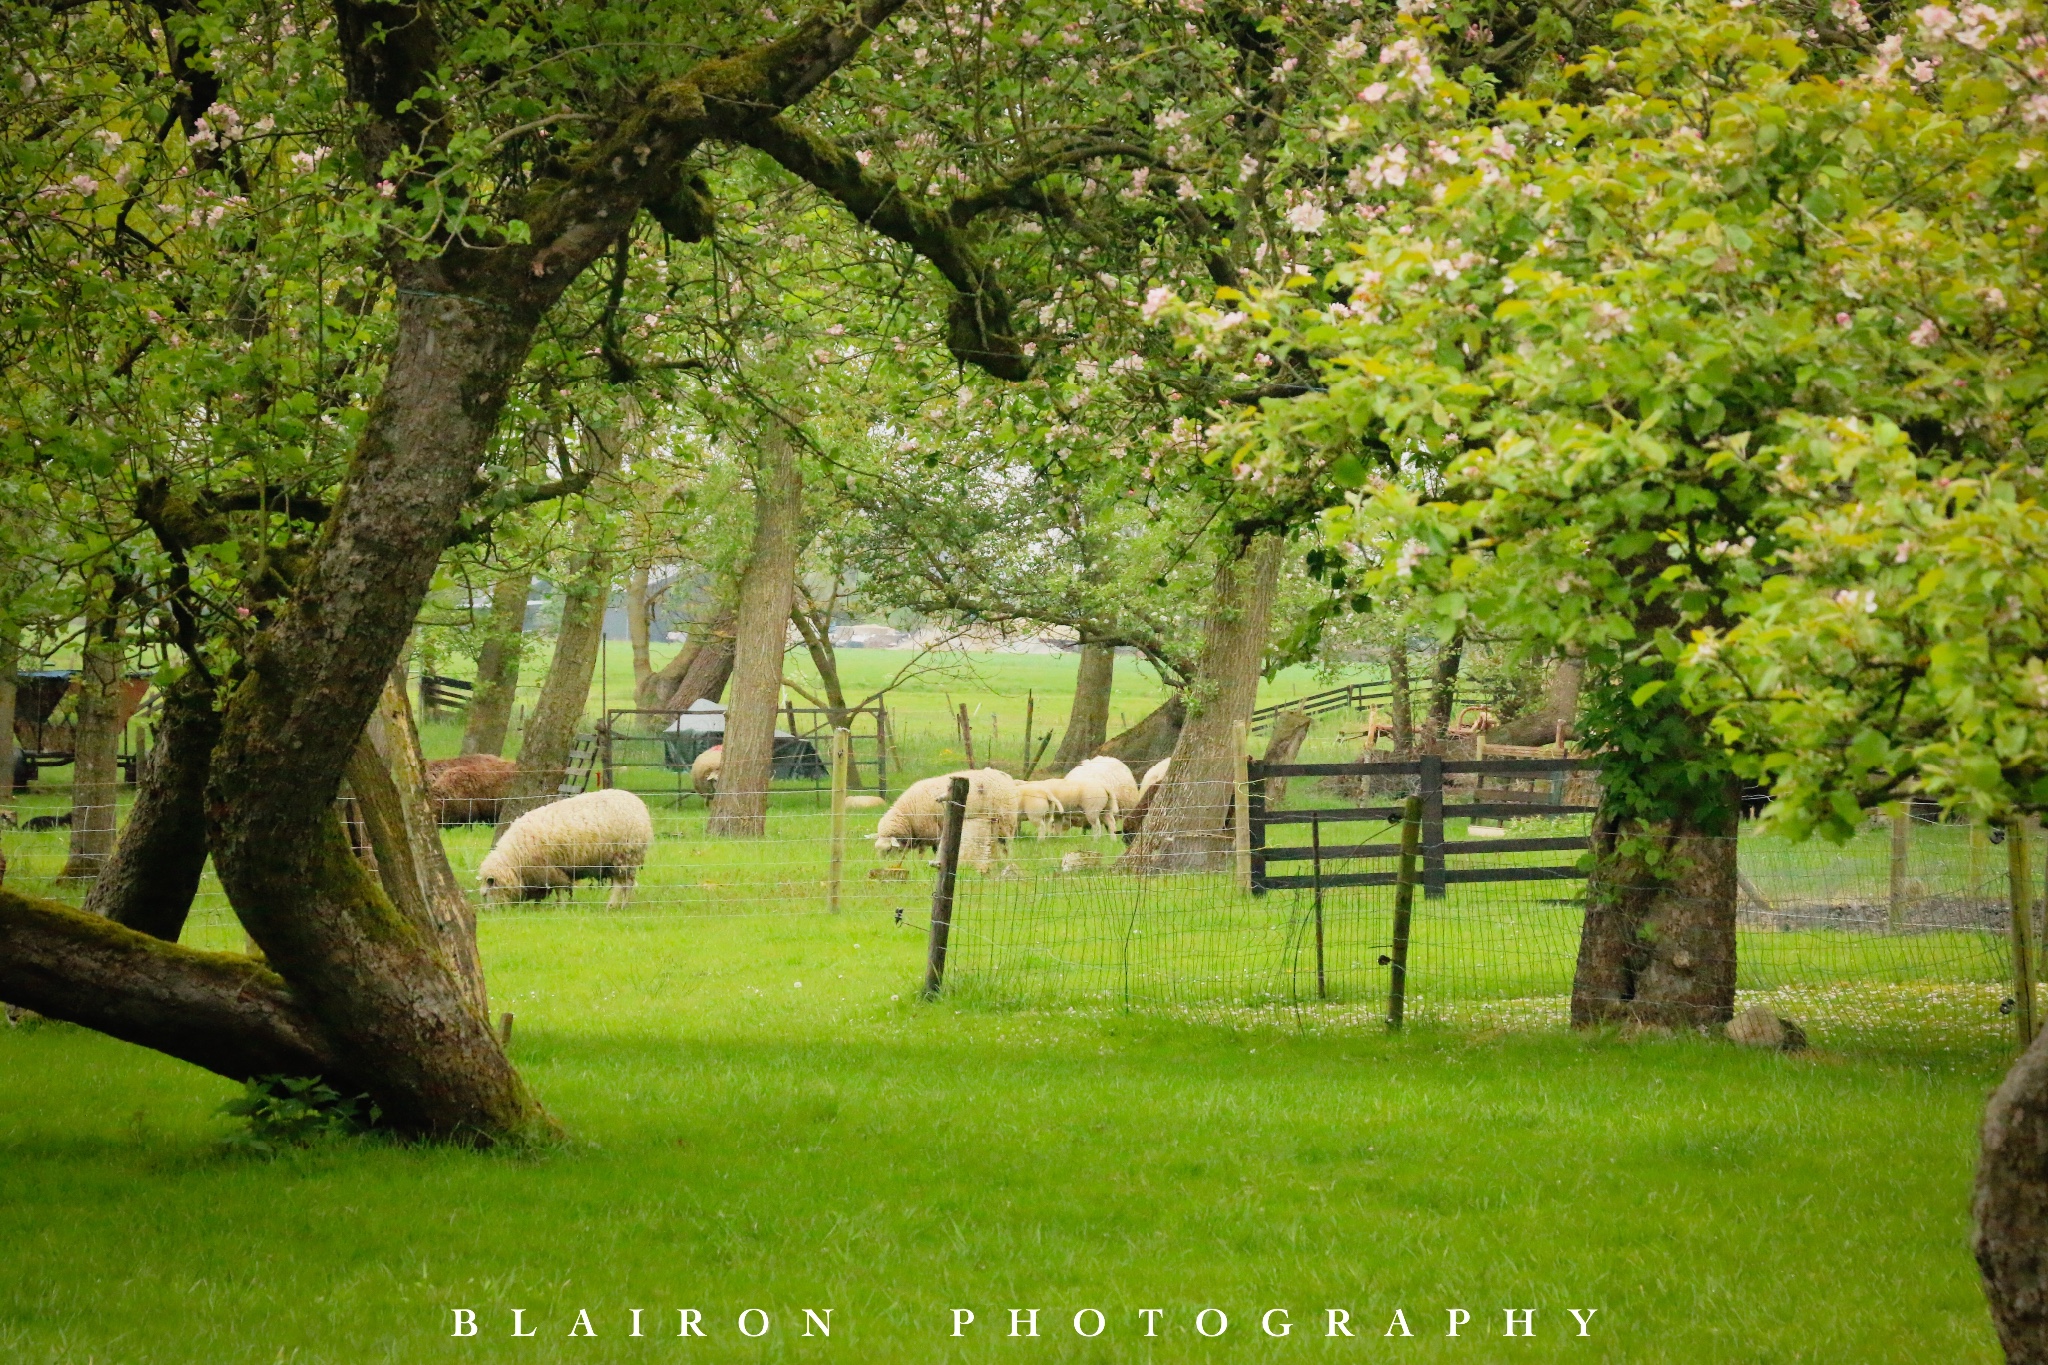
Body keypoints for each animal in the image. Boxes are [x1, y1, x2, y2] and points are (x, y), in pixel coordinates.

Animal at [475, 785, 651, 912]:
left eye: (485, 894)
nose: (488, 911)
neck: (515, 859)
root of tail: (639, 804)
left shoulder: (551, 870)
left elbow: (559, 889)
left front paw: (560, 906)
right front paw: (539, 905)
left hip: (625, 856)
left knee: (623, 885)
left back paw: (615, 906)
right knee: (625, 884)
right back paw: (620, 905)